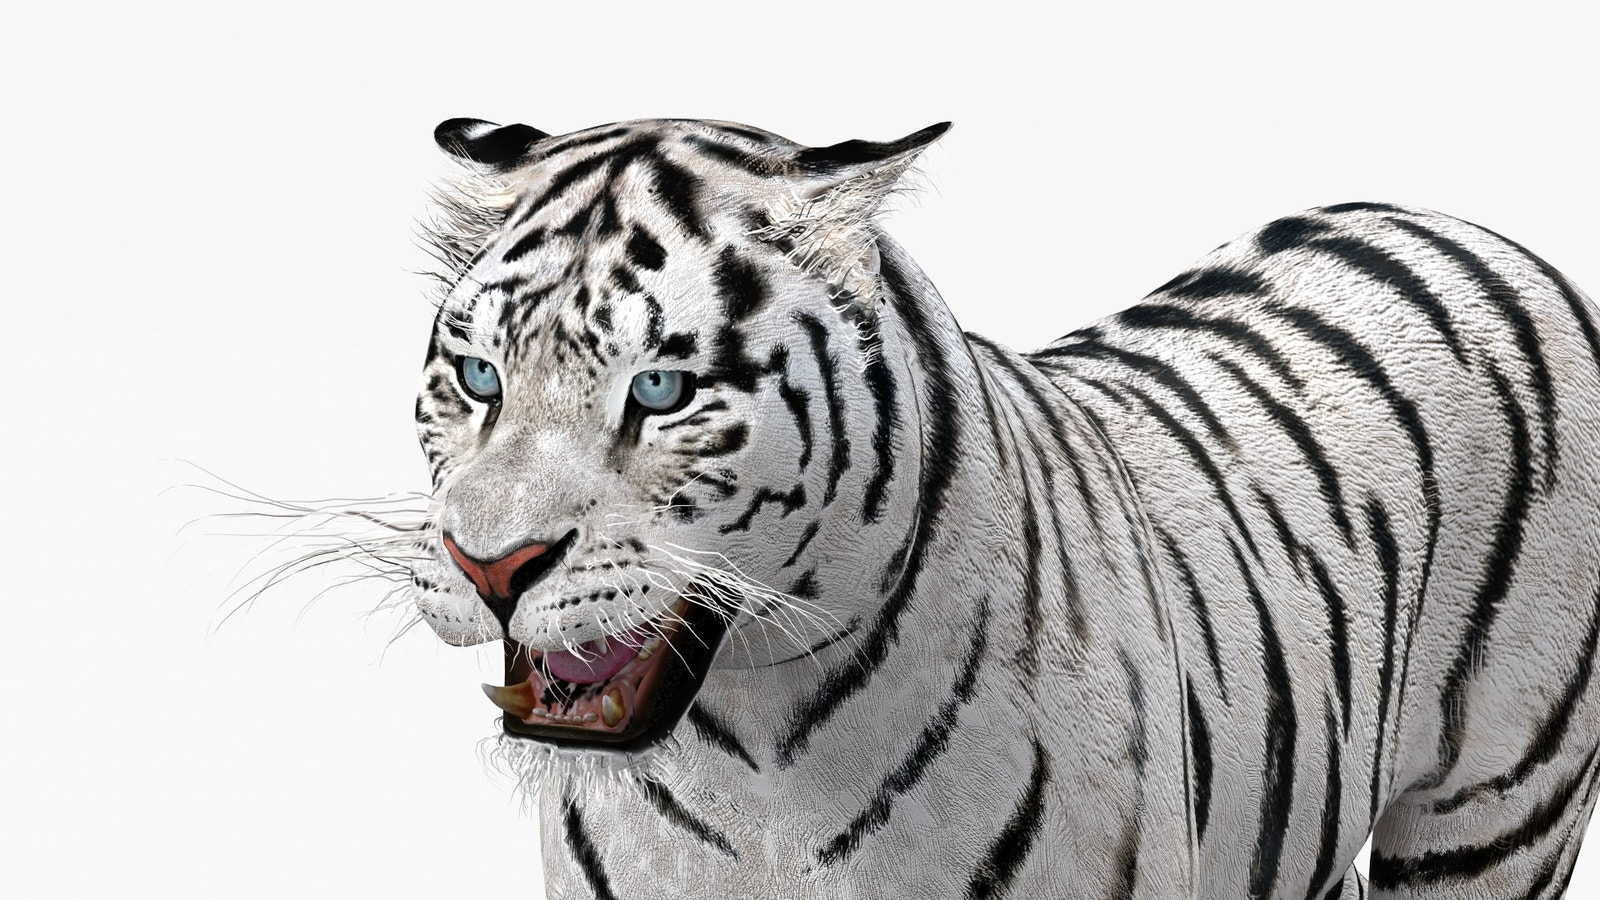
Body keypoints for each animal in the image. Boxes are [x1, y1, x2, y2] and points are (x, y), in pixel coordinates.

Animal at [397, 115, 1600, 898]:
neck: (748, 759)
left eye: (659, 390)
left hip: (1498, 818)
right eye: (478, 377)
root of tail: (1459, 224)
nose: (489, 567)